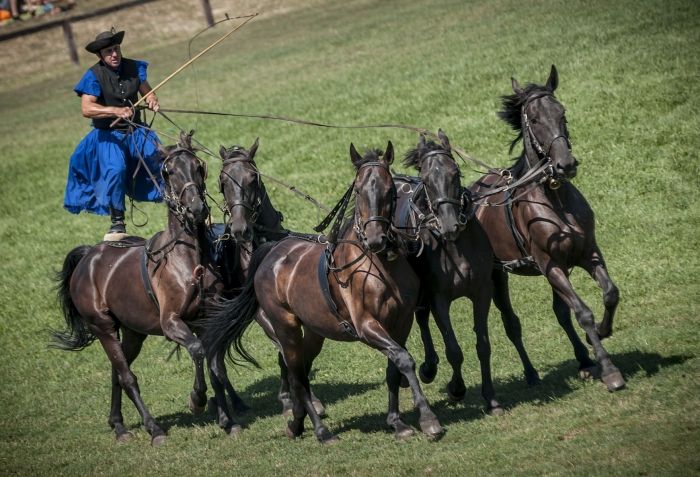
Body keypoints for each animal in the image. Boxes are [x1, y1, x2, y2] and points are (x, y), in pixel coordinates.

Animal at [52, 130, 249, 442]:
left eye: (199, 166)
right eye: (168, 172)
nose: (196, 209)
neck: (188, 258)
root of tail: (88, 258)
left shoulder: (207, 319)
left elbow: (215, 364)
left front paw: (227, 420)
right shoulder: (171, 323)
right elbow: (198, 351)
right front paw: (197, 399)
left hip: (133, 332)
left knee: (117, 371)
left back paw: (118, 423)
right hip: (103, 327)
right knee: (127, 375)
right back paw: (153, 428)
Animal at [204, 142, 442, 442]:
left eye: (390, 189)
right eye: (358, 190)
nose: (376, 239)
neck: (377, 265)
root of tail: (272, 252)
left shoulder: (402, 322)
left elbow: (395, 368)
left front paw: (397, 422)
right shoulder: (366, 326)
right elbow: (404, 359)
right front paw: (428, 419)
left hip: (314, 332)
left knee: (302, 371)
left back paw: (297, 422)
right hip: (286, 328)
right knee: (297, 374)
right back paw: (320, 430)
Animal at [394, 130, 504, 412]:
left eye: (455, 172)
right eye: (425, 179)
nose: (449, 224)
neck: (454, 246)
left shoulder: (482, 292)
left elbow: (483, 345)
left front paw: (491, 397)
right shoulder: (438, 298)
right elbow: (453, 350)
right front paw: (457, 389)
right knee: (420, 319)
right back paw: (425, 370)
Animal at [468, 64, 628, 390]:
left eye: (561, 112)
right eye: (535, 119)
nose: (566, 164)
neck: (553, 198)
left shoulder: (587, 253)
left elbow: (609, 293)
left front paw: (601, 334)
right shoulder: (550, 264)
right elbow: (583, 312)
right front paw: (609, 370)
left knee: (560, 313)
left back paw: (583, 361)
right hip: (496, 276)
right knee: (511, 322)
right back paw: (531, 374)